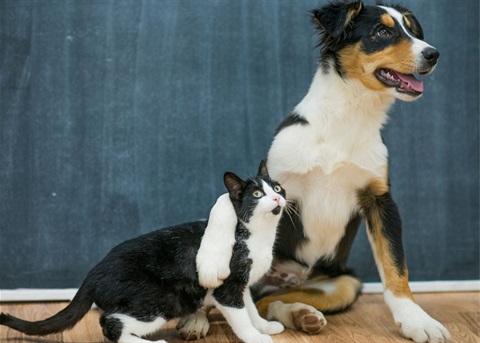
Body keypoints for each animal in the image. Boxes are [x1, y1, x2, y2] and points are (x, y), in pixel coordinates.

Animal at [0, 161, 284, 343]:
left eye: (277, 188)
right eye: (257, 194)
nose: (278, 198)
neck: (259, 235)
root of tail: (93, 273)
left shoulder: (241, 286)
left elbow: (250, 309)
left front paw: (264, 326)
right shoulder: (226, 288)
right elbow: (240, 317)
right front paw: (256, 337)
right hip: (162, 300)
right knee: (110, 324)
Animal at [182, 1, 452, 342]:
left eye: (411, 30)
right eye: (382, 31)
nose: (433, 54)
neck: (348, 116)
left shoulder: (380, 199)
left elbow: (396, 266)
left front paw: (416, 320)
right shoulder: (270, 180)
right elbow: (223, 204)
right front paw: (210, 263)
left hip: (344, 283)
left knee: (268, 302)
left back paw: (302, 315)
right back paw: (195, 320)